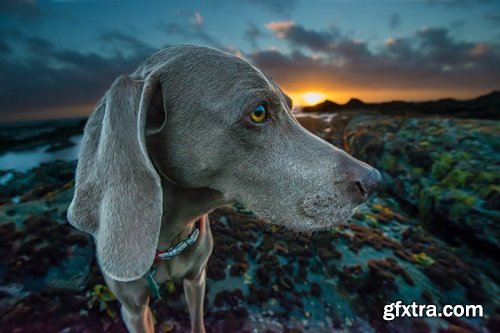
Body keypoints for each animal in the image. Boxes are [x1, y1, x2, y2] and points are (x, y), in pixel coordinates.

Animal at [65, 44, 378, 332]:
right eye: (259, 112)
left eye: (291, 108)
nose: (374, 180)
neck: (169, 240)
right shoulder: (133, 309)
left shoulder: (197, 279)